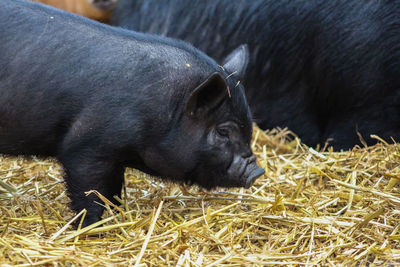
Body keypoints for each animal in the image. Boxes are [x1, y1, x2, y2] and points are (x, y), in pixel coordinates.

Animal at [0, 0, 266, 227]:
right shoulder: (85, 146)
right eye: (222, 131)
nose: (257, 171)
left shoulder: (115, 158)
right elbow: (90, 193)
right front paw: (90, 228)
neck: (165, 108)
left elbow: (113, 190)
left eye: (248, 127)